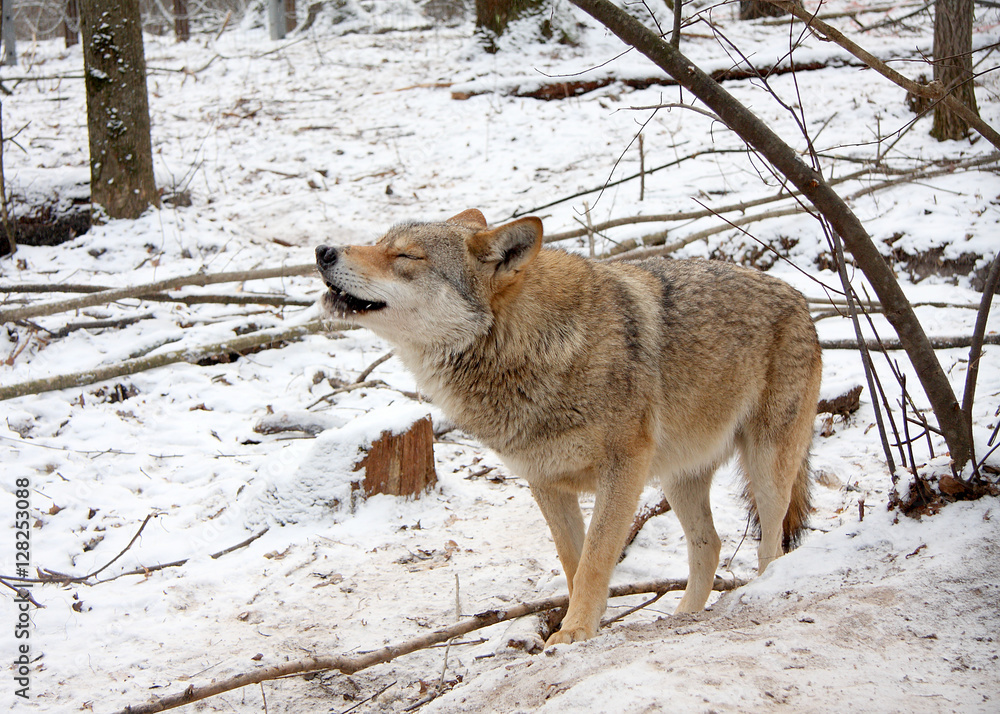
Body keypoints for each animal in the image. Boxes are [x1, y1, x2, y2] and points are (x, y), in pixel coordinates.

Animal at [315, 209, 822, 646]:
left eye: (405, 256)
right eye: (379, 242)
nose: (323, 251)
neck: (530, 346)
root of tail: (799, 297)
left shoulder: (623, 468)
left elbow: (597, 558)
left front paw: (575, 631)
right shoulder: (545, 481)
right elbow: (573, 563)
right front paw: (580, 626)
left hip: (766, 469)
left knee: (772, 544)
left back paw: (764, 590)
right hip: (680, 480)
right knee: (710, 545)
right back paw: (684, 617)